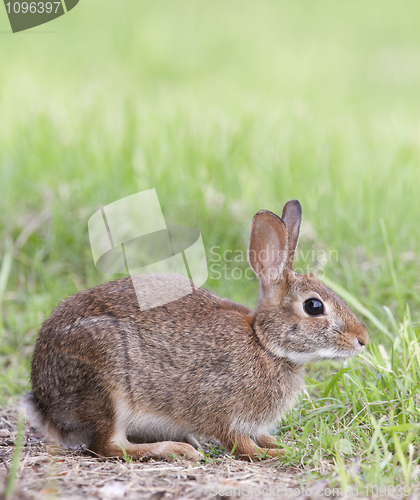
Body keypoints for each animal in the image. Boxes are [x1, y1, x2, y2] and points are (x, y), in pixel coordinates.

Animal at [24, 199, 370, 460]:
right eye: (314, 307)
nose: (362, 340)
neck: (264, 344)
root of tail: (43, 399)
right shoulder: (223, 410)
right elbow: (242, 446)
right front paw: (277, 454)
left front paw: (286, 444)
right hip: (106, 381)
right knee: (108, 446)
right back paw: (178, 449)